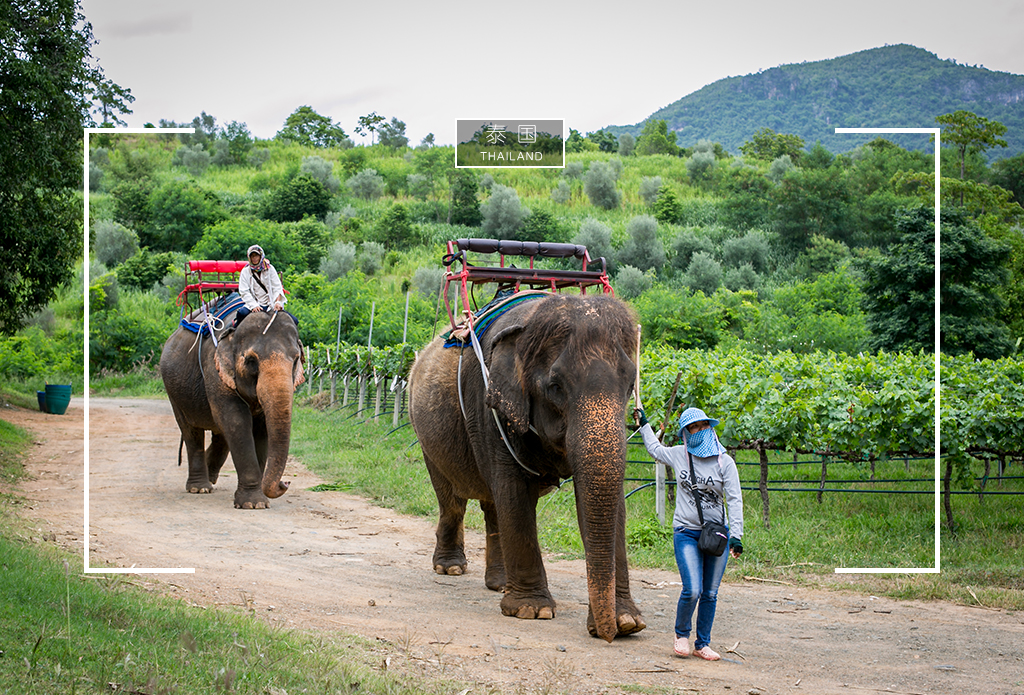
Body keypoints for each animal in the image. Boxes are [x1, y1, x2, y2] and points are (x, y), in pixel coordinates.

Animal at [158, 309, 303, 511]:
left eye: (296, 359)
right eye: (251, 360)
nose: (286, 483)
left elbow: (261, 429)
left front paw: (257, 501)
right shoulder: (215, 370)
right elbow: (236, 421)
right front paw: (253, 504)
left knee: (220, 434)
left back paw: (210, 477)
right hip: (174, 392)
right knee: (191, 431)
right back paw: (200, 488)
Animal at [407, 290, 647, 642]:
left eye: (631, 384)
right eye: (555, 386)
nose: (607, 634)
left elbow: (608, 501)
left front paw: (629, 622)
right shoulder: (490, 405)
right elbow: (514, 492)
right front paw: (531, 611)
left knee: (493, 504)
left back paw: (499, 584)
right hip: (425, 435)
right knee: (453, 499)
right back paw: (450, 568)